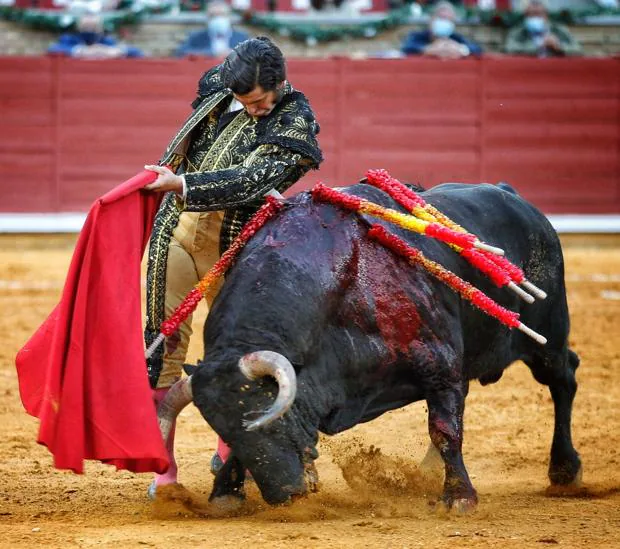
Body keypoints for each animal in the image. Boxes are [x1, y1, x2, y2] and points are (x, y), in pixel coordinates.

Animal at [162, 183, 580, 510]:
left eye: (272, 418)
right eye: (225, 429)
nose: (285, 494)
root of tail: (517, 199)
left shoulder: (439, 367)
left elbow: (445, 430)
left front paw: (460, 496)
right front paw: (225, 493)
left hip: (547, 339)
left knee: (564, 379)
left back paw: (564, 470)